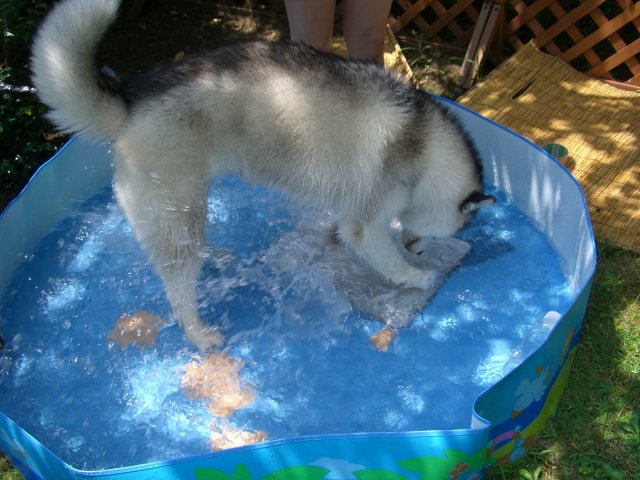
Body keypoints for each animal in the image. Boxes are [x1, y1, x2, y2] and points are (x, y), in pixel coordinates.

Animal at [31, 0, 495, 350]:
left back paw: (214, 256)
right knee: (178, 291)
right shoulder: (367, 222)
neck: (427, 149)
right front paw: (414, 273)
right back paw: (198, 333)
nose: (417, 247)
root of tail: (128, 107)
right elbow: (385, 257)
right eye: (458, 225)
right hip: (178, 210)